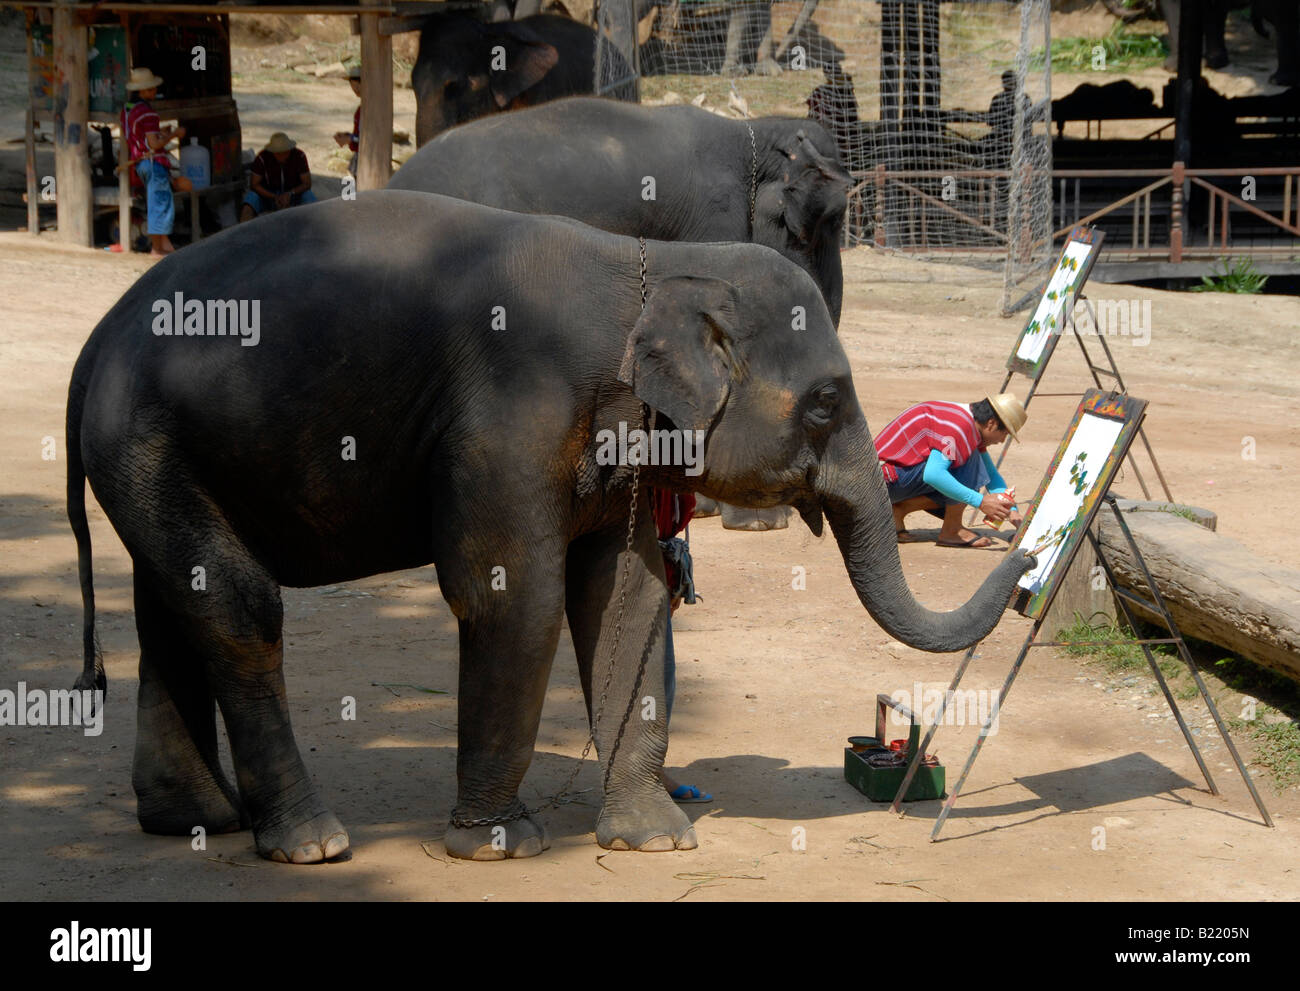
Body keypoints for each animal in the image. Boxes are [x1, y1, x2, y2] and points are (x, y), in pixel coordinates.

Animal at [71, 188, 1029, 863]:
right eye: (827, 401)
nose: (1024, 561)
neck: (654, 260)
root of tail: (94, 345)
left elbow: (630, 599)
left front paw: (652, 838)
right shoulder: (512, 413)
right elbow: (512, 595)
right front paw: (497, 844)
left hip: (154, 454)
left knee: (173, 605)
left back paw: (198, 818)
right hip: (147, 438)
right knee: (237, 606)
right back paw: (311, 841)